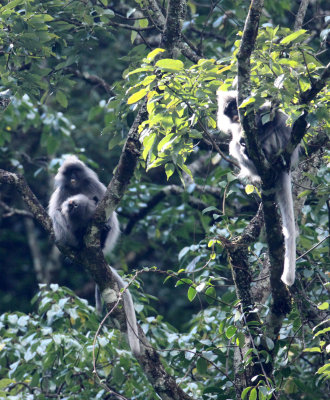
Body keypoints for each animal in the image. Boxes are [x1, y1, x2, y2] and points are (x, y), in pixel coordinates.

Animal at [49, 157, 141, 356]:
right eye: (69, 174)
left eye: (76, 172)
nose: (73, 177)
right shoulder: (61, 193)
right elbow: (56, 211)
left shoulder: (94, 185)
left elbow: (105, 203)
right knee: (58, 216)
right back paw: (77, 241)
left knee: (108, 217)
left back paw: (103, 235)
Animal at [217, 91, 300, 286]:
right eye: (228, 112)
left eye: (234, 107)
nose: (234, 115)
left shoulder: (257, 106)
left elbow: (273, 111)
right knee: (235, 145)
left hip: (278, 145)